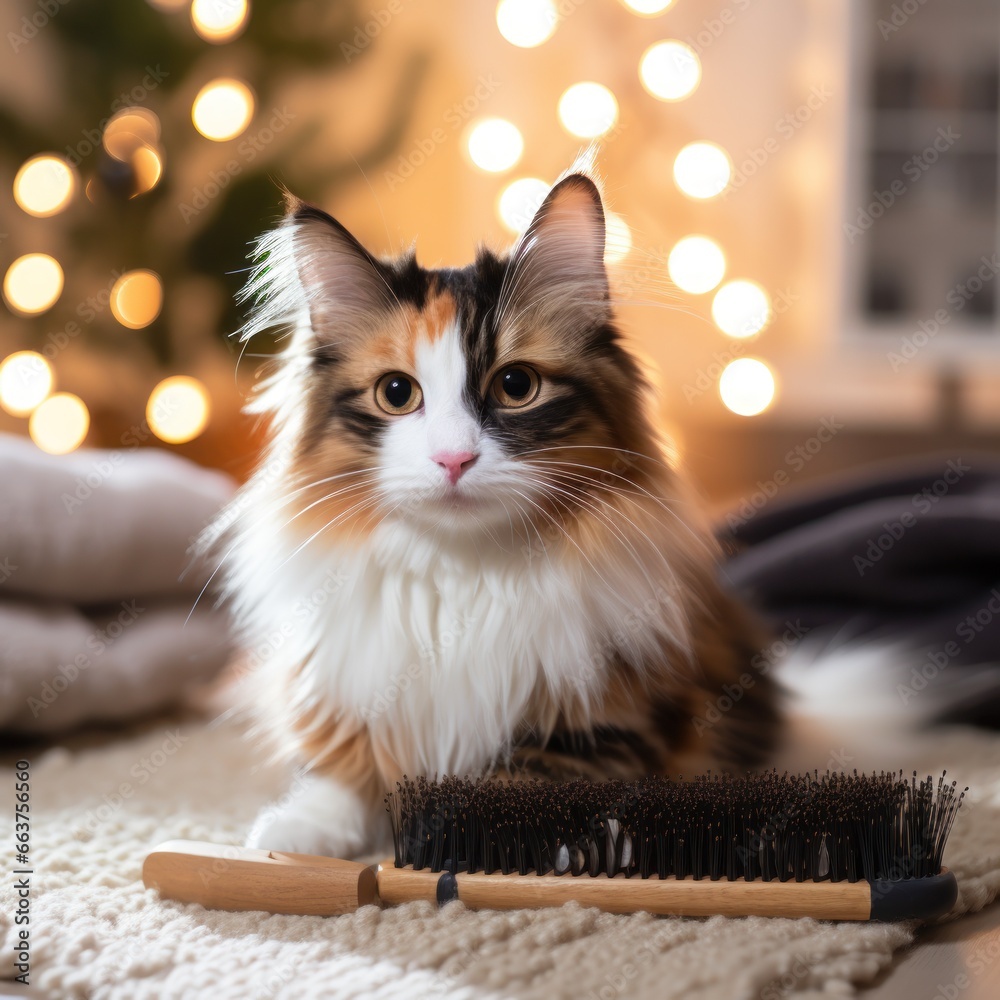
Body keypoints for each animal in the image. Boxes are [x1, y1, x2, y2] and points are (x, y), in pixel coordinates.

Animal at [217, 168, 780, 856]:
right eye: (396, 393)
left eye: (516, 387)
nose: (454, 459)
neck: (464, 575)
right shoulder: (341, 686)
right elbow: (343, 768)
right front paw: (301, 833)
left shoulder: (604, 718)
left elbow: (516, 787)